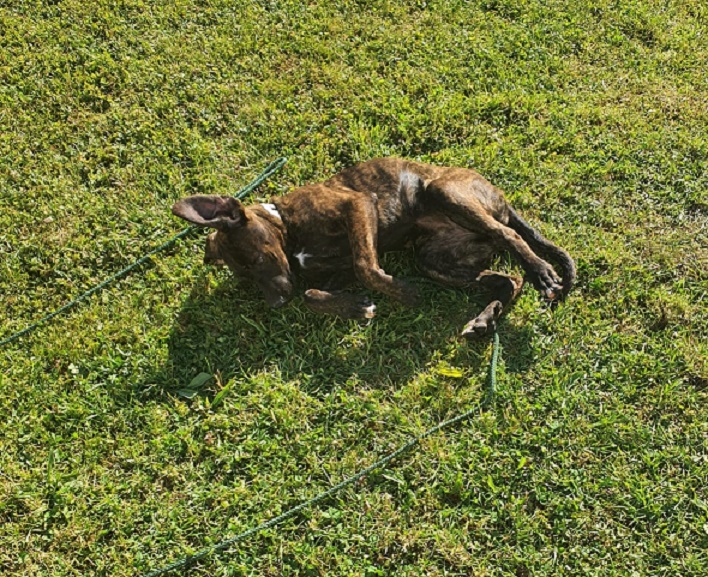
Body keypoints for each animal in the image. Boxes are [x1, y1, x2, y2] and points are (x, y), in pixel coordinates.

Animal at [172, 158, 575, 338]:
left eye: (257, 259)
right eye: (247, 279)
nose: (277, 303)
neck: (285, 224)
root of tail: (501, 200)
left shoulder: (358, 207)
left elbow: (367, 266)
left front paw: (402, 293)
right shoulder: (337, 270)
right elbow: (314, 295)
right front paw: (356, 307)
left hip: (444, 191)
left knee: (512, 237)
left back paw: (540, 273)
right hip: (433, 258)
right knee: (508, 280)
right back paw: (485, 318)